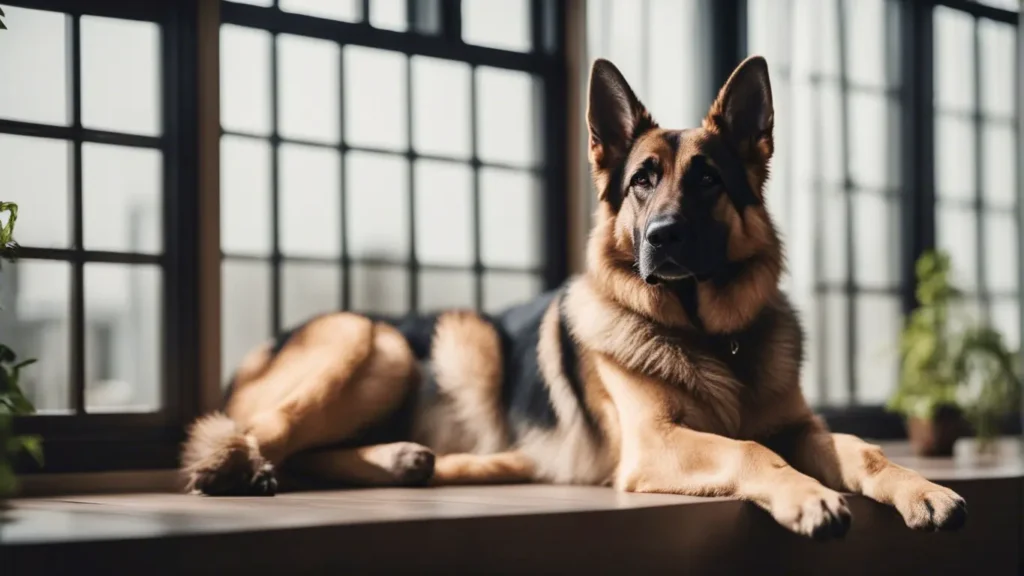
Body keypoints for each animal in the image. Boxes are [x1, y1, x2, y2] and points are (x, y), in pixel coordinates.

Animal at [182, 56, 966, 537]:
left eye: (708, 179)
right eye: (643, 180)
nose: (663, 238)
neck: (706, 336)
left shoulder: (799, 426)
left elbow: (862, 449)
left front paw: (919, 488)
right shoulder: (656, 443)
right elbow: (749, 451)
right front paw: (808, 496)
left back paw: (409, 459)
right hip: (377, 343)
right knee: (258, 435)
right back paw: (239, 469)